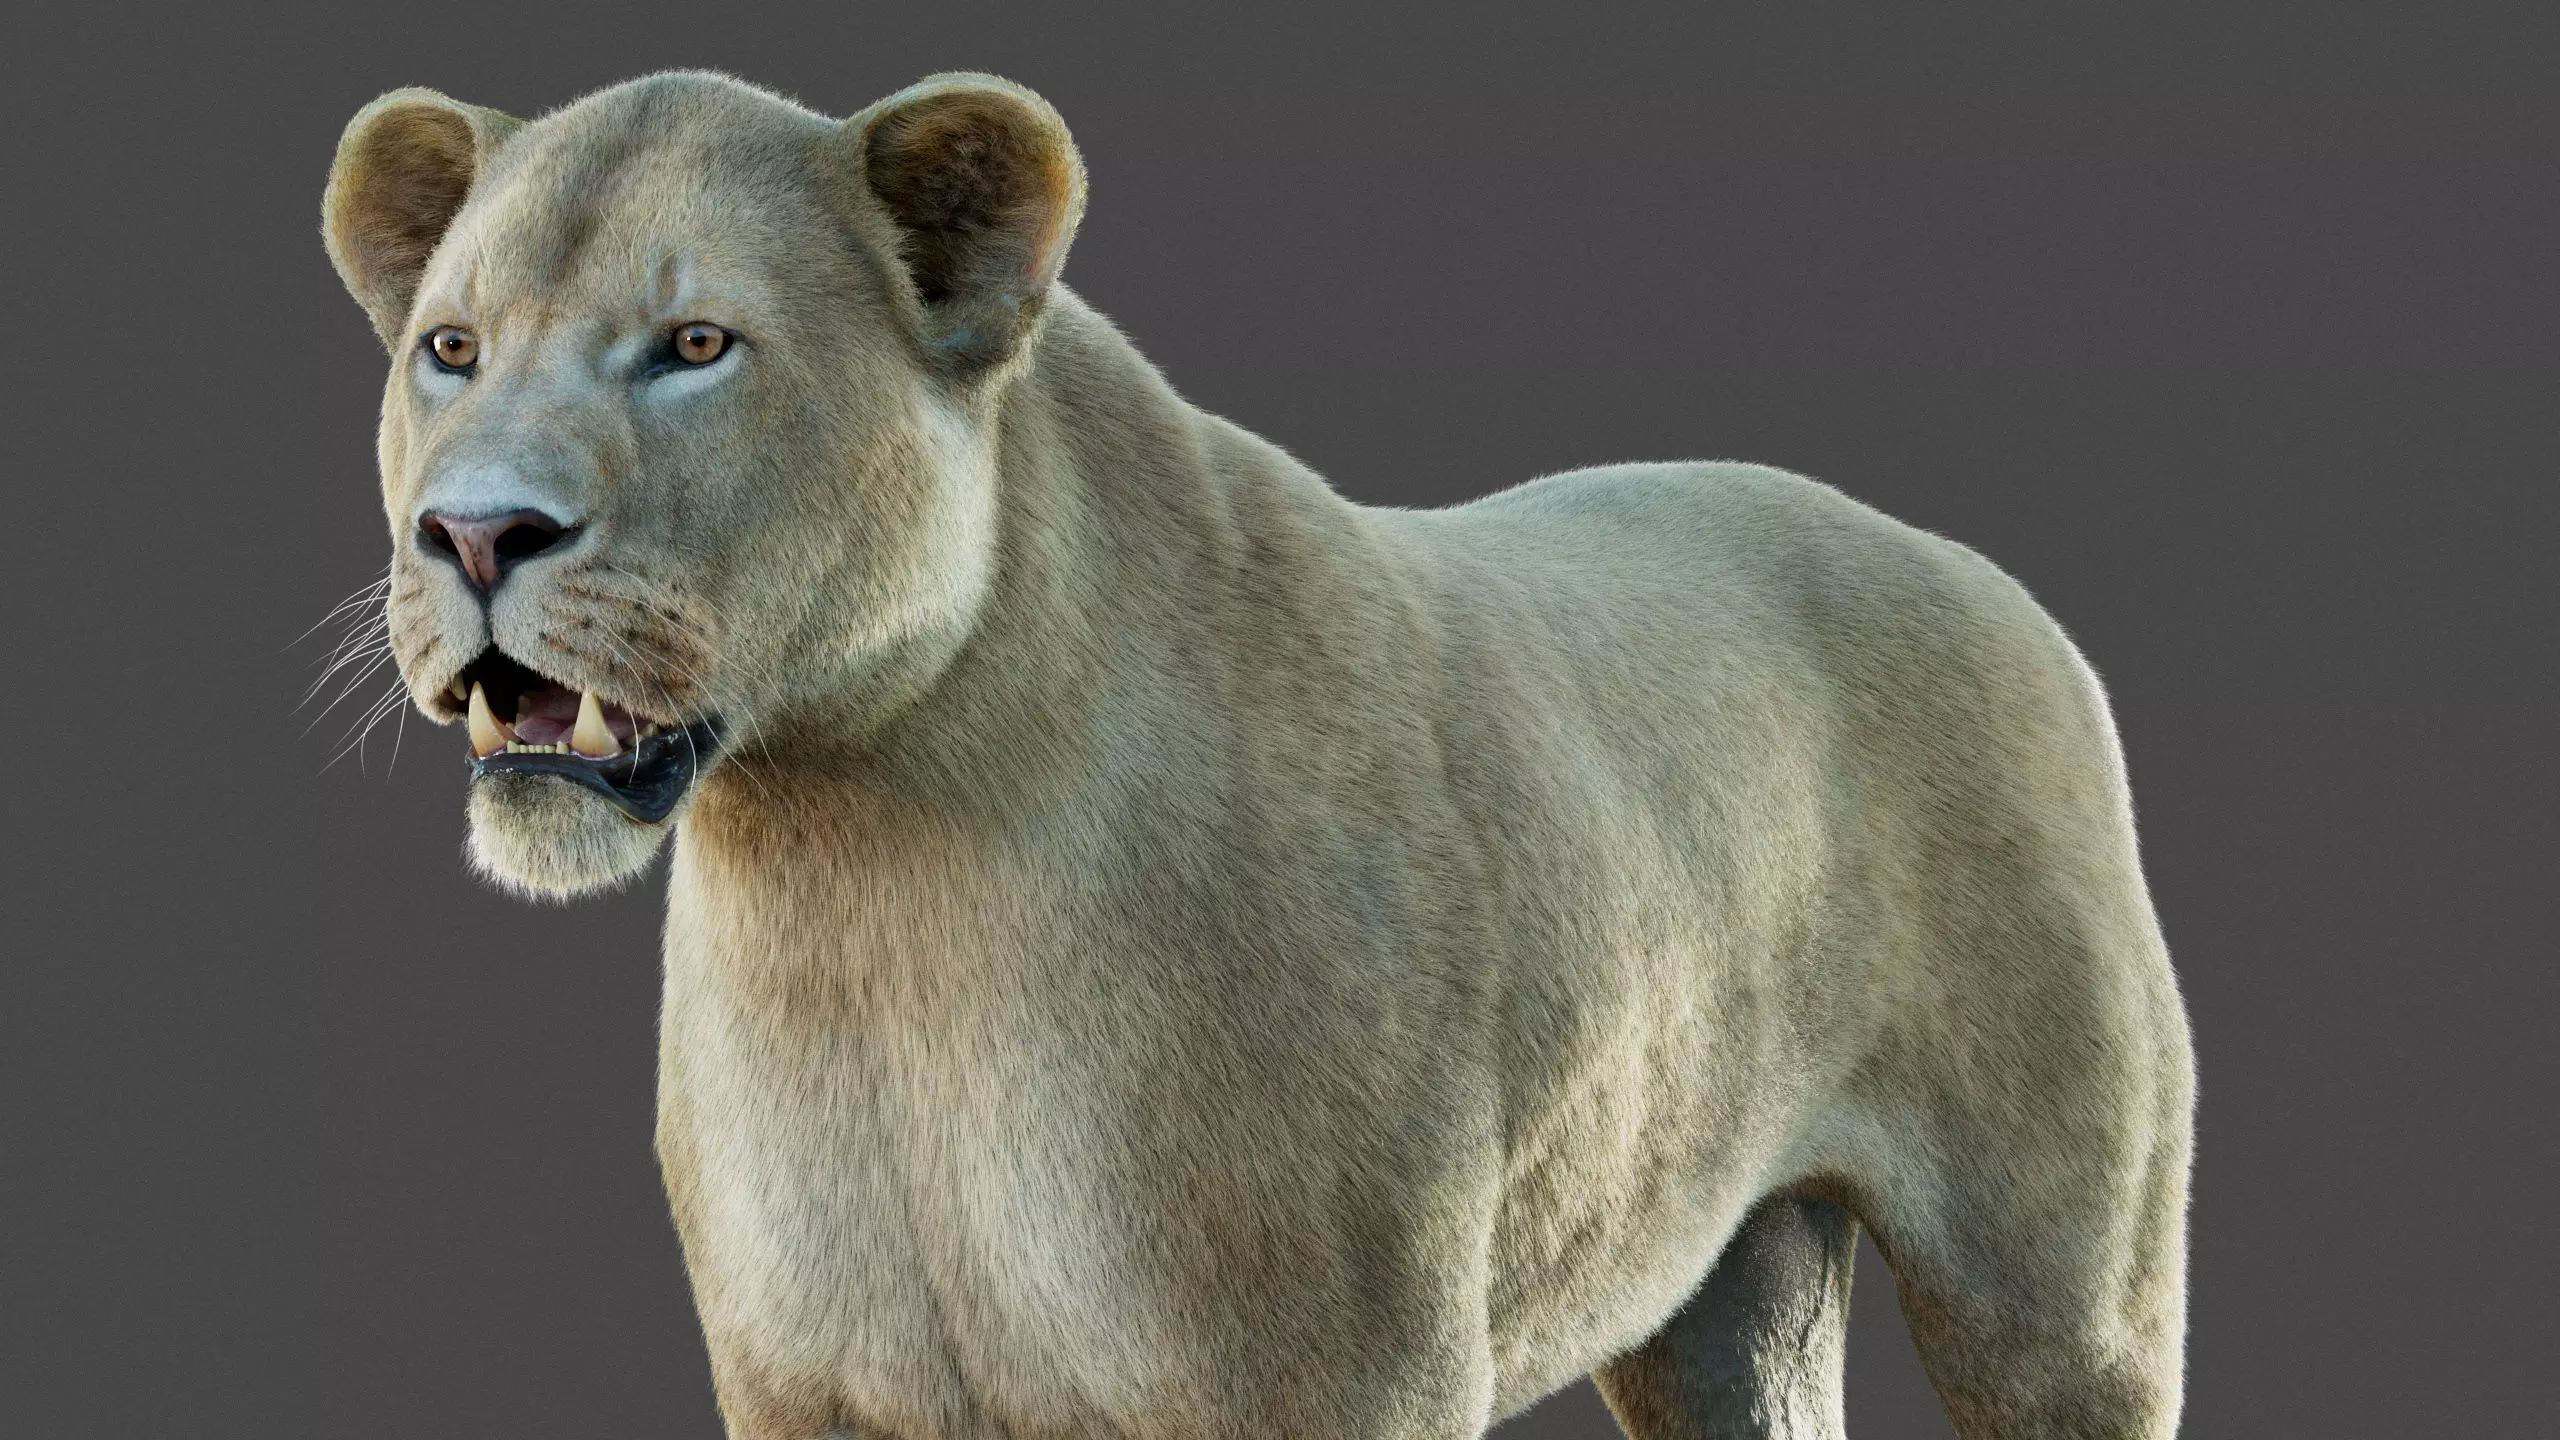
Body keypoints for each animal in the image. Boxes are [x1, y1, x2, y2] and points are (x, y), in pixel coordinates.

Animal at [320, 70, 2195, 1440]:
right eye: (451, 350)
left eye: (697, 346)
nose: (473, 533)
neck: (853, 881)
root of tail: (1984, 579)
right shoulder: (810, 1391)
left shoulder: (1331, 1379)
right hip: (1720, 1289)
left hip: (2061, 1296)